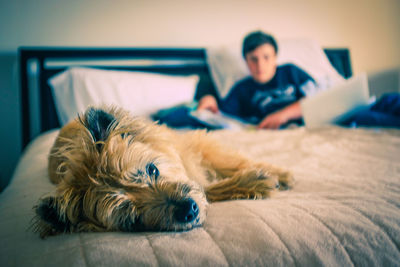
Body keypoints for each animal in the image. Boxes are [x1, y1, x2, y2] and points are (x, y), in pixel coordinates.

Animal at [32, 107, 294, 239]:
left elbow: (229, 163)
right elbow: (209, 189)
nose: (189, 210)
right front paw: (255, 182)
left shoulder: (196, 147)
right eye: (131, 218)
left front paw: (277, 173)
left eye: (152, 169)